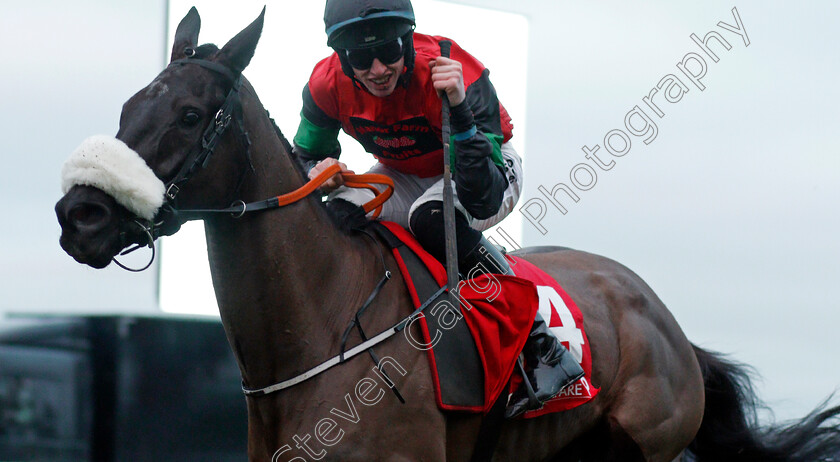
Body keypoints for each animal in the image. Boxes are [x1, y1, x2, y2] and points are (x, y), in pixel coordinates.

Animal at [52, 7, 840, 462]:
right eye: (129, 106)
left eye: (190, 116)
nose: (79, 216)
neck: (319, 331)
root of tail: (665, 319)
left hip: (643, 445)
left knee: (441, 210)